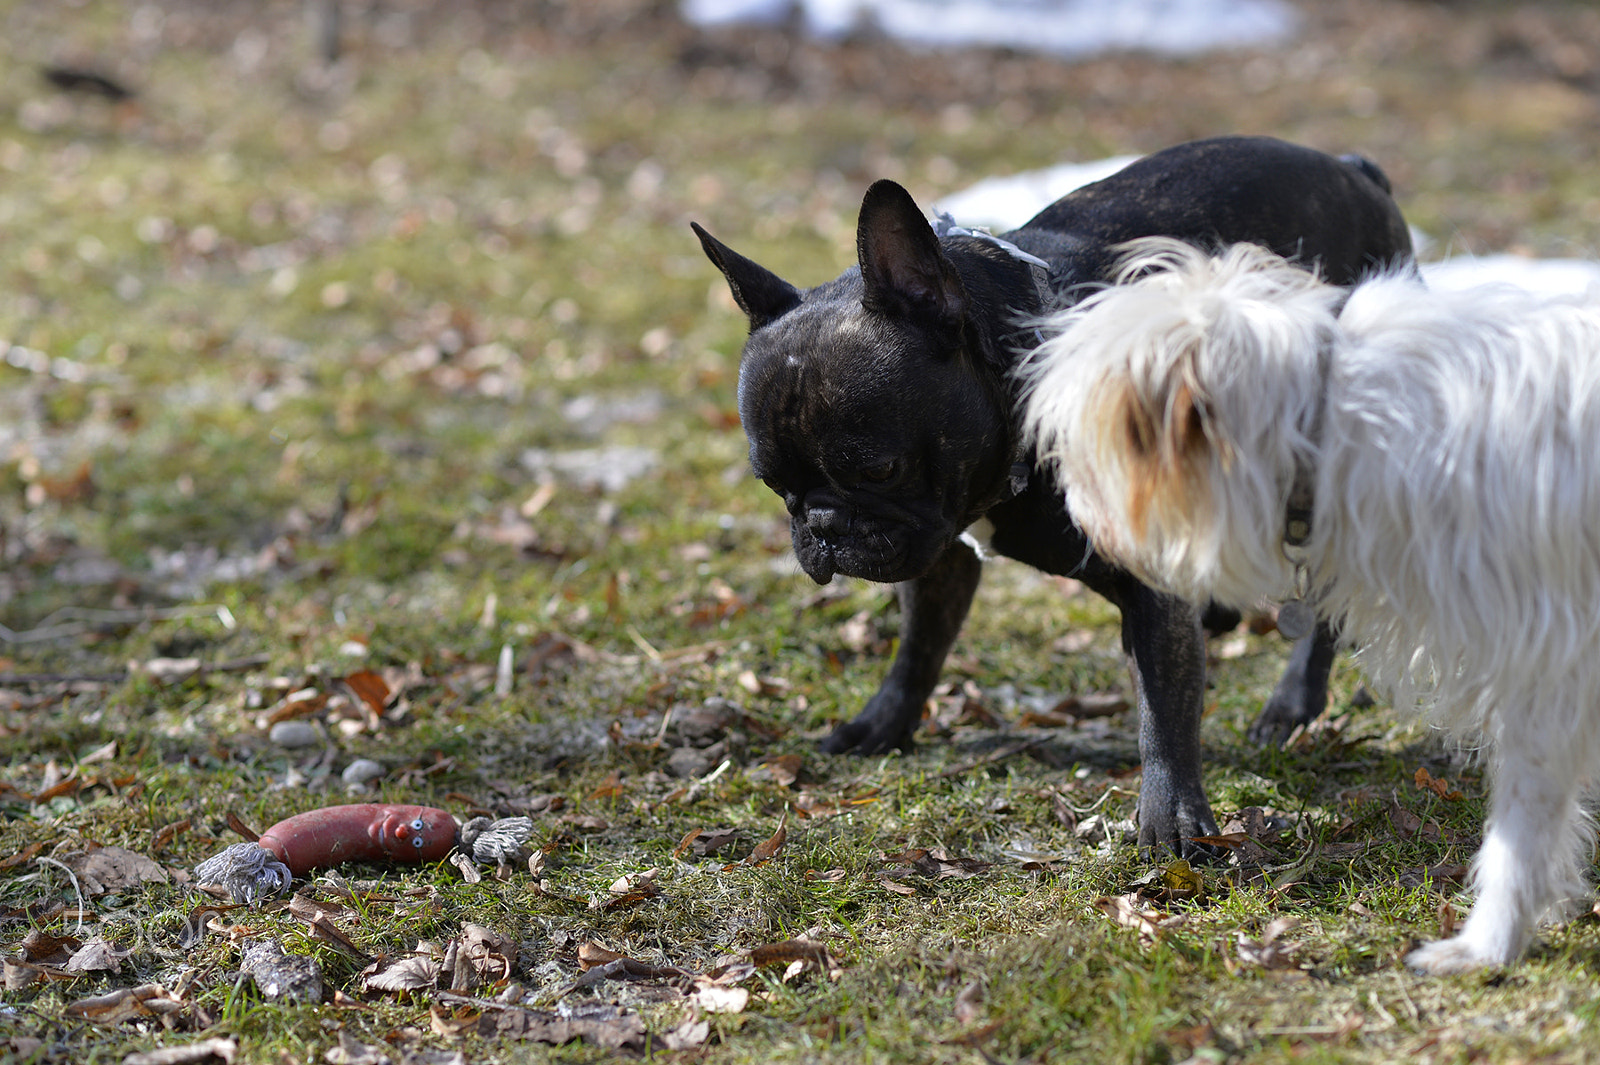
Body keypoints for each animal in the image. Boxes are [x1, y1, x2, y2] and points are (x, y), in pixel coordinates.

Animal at [694, 136, 1408, 857]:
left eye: (879, 470)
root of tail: (1356, 173)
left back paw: (1292, 702)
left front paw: (1171, 817)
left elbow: (1163, 701)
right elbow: (919, 647)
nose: (822, 523)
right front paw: (881, 725)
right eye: (773, 484)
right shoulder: (944, 554)